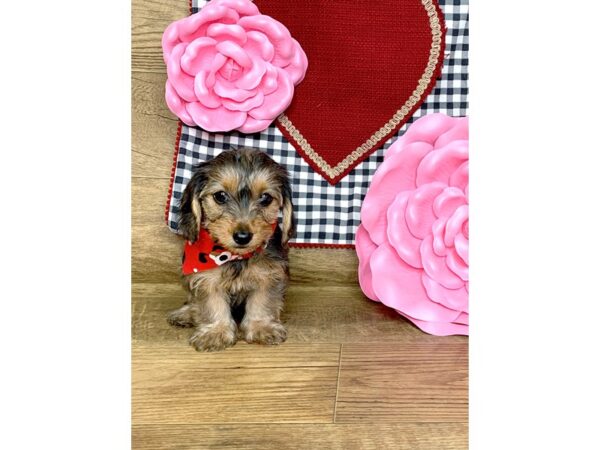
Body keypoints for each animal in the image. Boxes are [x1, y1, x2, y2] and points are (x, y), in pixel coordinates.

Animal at [168, 148, 294, 352]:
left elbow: (262, 301)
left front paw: (261, 326)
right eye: (220, 196)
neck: (233, 257)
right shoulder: (206, 279)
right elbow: (212, 303)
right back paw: (186, 313)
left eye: (266, 198)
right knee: (192, 301)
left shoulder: (269, 274)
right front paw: (216, 331)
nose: (242, 236)